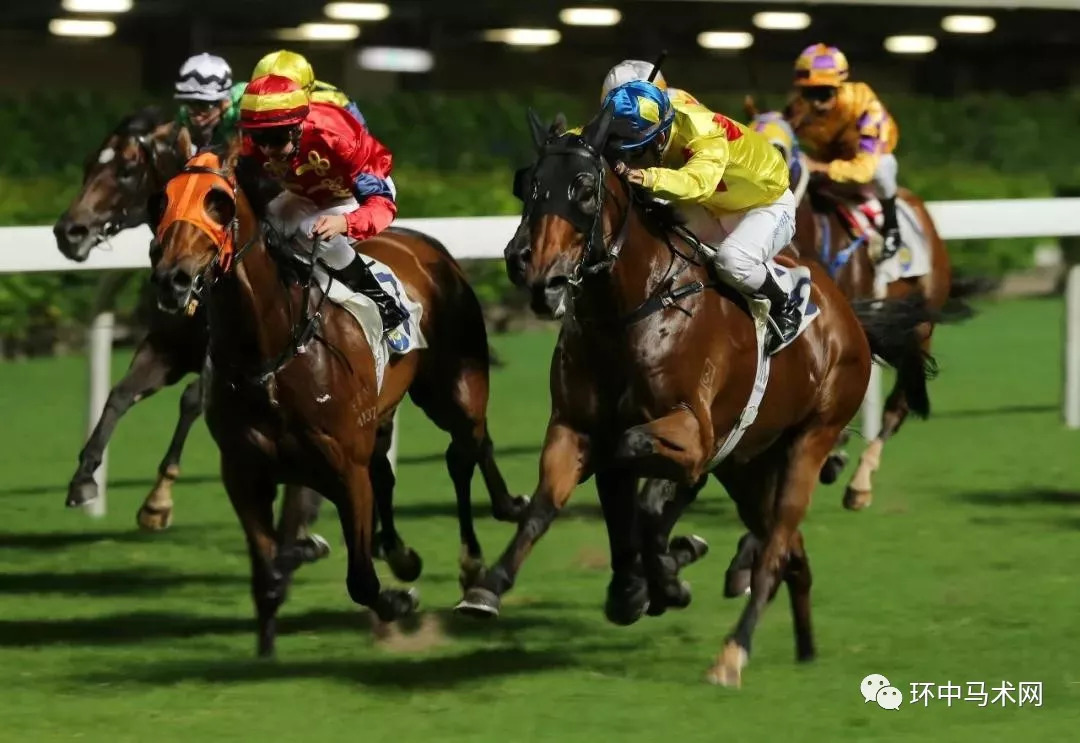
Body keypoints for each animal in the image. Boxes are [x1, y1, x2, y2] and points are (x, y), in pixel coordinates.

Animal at [451, 107, 933, 686]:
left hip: (809, 439)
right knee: (791, 554)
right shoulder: (574, 425)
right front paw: (491, 585)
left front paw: (660, 573)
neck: (631, 309)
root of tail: (849, 320)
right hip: (748, 465)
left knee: (776, 547)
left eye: (585, 187)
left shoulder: (691, 434)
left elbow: (631, 474)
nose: (535, 271)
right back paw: (802, 645)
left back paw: (732, 651)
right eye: (527, 184)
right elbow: (549, 503)